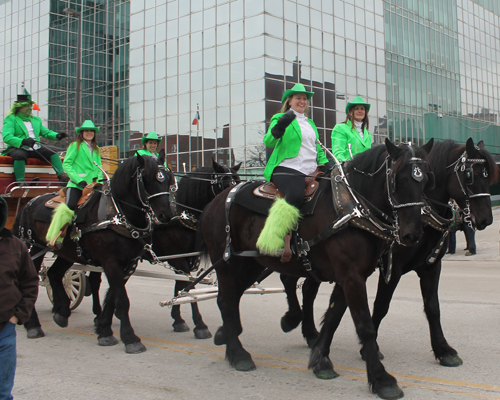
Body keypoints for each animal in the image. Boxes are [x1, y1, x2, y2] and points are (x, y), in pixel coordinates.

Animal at [14, 152, 175, 354]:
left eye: (168, 179)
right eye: (146, 179)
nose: (166, 215)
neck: (119, 214)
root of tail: (29, 203)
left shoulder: (129, 263)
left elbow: (114, 296)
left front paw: (104, 329)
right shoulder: (110, 262)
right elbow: (122, 300)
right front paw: (130, 338)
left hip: (68, 252)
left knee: (54, 274)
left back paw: (62, 313)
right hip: (33, 247)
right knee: (31, 281)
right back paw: (33, 325)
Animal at [199, 138, 434, 400]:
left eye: (425, 179)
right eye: (397, 178)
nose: (413, 234)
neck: (352, 207)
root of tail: (217, 201)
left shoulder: (348, 276)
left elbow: (332, 318)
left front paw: (320, 360)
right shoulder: (352, 277)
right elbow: (365, 326)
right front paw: (381, 379)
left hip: (251, 263)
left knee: (232, 298)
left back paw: (231, 338)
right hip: (227, 263)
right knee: (226, 300)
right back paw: (238, 353)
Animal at [280, 138, 498, 368]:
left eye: (488, 175)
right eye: (470, 175)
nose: (485, 219)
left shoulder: (431, 266)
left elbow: (433, 307)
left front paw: (443, 349)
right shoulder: (393, 269)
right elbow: (381, 305)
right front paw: (370, 349)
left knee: (307, 289)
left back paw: (310, 332)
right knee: (290, 280)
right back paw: (293, 319)